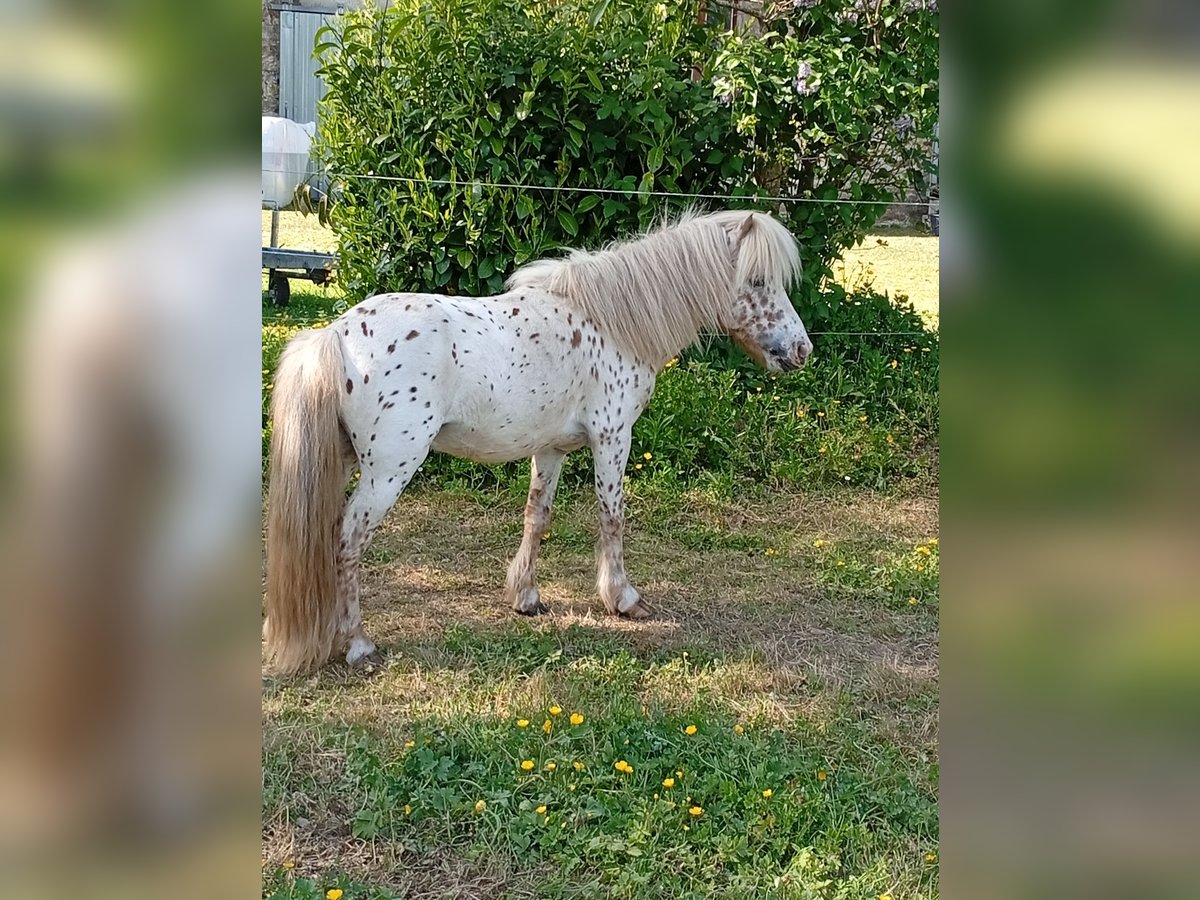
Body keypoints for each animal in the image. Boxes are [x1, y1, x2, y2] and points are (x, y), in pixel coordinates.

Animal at [264, 209, 813, 673]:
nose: (801, 350)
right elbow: (611, 517)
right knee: (348, 540)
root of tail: (334, 336)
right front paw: (623, 598)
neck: (613, 322)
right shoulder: (613, 437)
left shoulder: (550, 449)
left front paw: (525, 597)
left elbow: (537, 516)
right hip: (387, 471)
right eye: (757, 281)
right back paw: (358, 644)